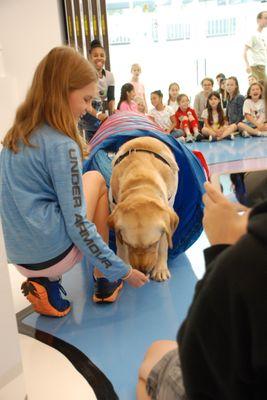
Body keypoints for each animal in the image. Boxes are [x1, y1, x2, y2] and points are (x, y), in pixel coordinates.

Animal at [108, 136, 179, 280]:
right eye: (129, 244)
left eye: (153, 243)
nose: (142, 271)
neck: (140, 183)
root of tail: (145, 137)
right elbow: (120, 246)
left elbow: (164, 243)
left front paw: (160, 269)